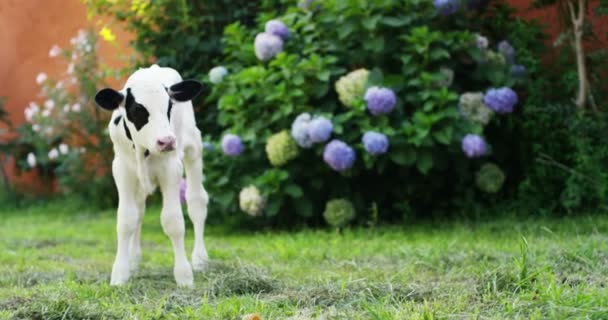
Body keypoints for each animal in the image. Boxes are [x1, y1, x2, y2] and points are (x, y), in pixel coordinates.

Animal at [95, 63, 209, 286]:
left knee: (196, 201)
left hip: (193, 147)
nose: (167, 141)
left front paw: (184, 275)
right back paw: (134, 259)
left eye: (169, 107)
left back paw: (200, 259)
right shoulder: (122, 169)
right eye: (137, 109)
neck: (143, 150)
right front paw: (120, 273)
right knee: (139, 210)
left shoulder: (171, 169)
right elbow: (127, 219)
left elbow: (173, 221)